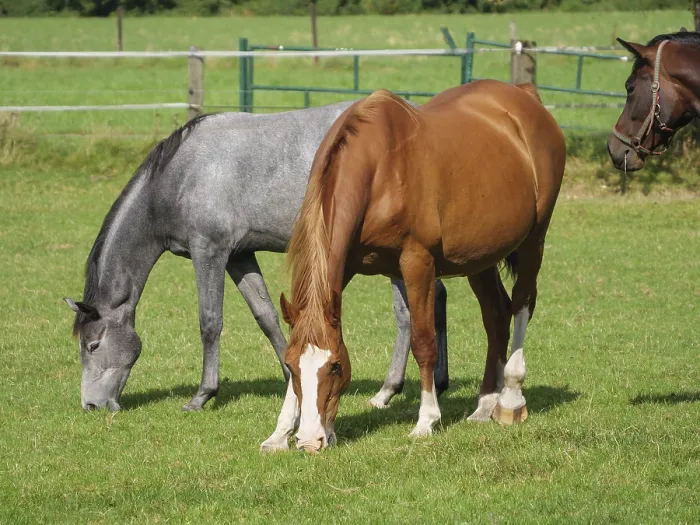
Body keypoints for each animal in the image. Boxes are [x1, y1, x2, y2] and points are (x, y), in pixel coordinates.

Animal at [63, 102, 449, 413]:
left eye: (93, 345)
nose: (91, 405)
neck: (181, 176)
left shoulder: (210, 251)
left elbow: (210, 322)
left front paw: (202, 395)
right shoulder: (240, 256)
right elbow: (265, 315)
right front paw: (290, 376)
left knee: (408, 313)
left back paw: (389, 390)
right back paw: (434, 383)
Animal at [262, 80, 566, 453]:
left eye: (335, 366)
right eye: (291, 365)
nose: (309, 441)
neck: (381, 168)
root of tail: (525, 97)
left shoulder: (417, 262)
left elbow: (423, 341)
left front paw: (426, 420)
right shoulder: (344, 266)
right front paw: (279, 432)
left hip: (534, 240)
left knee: (523, 303)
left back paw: (509, 398)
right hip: (480, 258)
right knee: (496, 316)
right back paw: (484, 405)